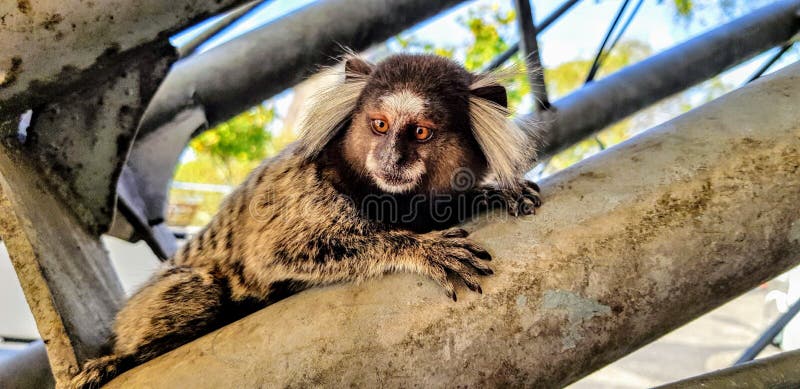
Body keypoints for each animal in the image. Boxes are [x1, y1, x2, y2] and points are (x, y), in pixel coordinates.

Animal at [72, 53, 540, 386]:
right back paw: (122, 358)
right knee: (200, 290)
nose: (389, 157)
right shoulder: (307, 192)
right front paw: (420, 248)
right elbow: (278, 253)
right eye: (379, 125)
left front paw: (496, 192)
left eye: (420, 132)